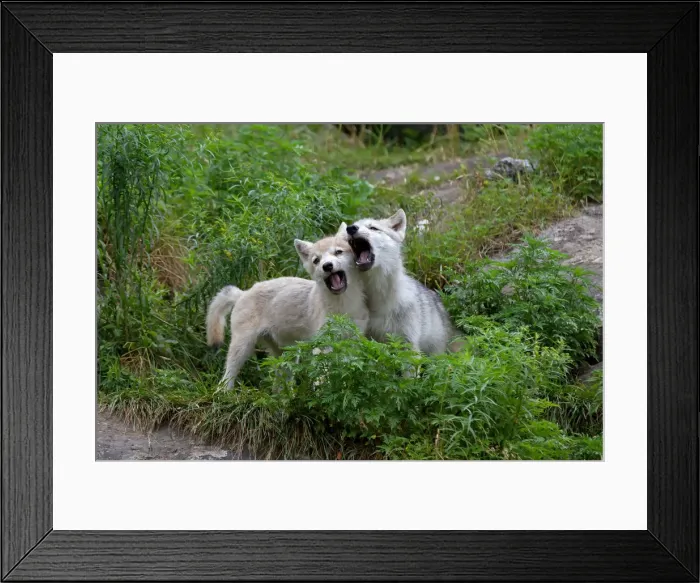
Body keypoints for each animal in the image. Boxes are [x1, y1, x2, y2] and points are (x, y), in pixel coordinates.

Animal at [206, 230, 368, 389]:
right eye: (316, 260)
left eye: (338, 252)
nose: (327, 266)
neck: (343, 308)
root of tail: (242, 293)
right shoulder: (324, 345)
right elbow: (325, 376)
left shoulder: (353, 343)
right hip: (243, 348)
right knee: (226, 379)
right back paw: (225, 394)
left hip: (285, 357)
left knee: (278, 387)